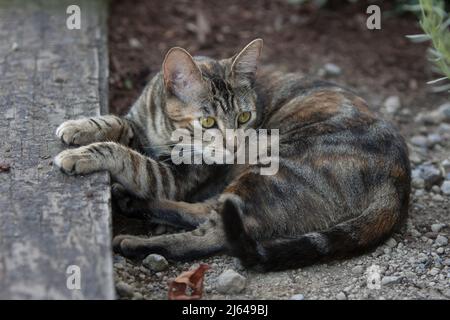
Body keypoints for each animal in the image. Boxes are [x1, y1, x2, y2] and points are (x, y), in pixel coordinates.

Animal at [53, 38, 412, 272]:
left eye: (244, 117)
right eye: (208, 122)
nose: (235, 145)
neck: (163, 129)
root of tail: (398, 183)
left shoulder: (173, 177)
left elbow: (127, 157)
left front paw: (81, 155)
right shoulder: (139, 127)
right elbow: (114, 122)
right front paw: (77, 127)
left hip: (274, 171)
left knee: (215, 232)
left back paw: (138, 242)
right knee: (212, 210)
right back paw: (132, 202)